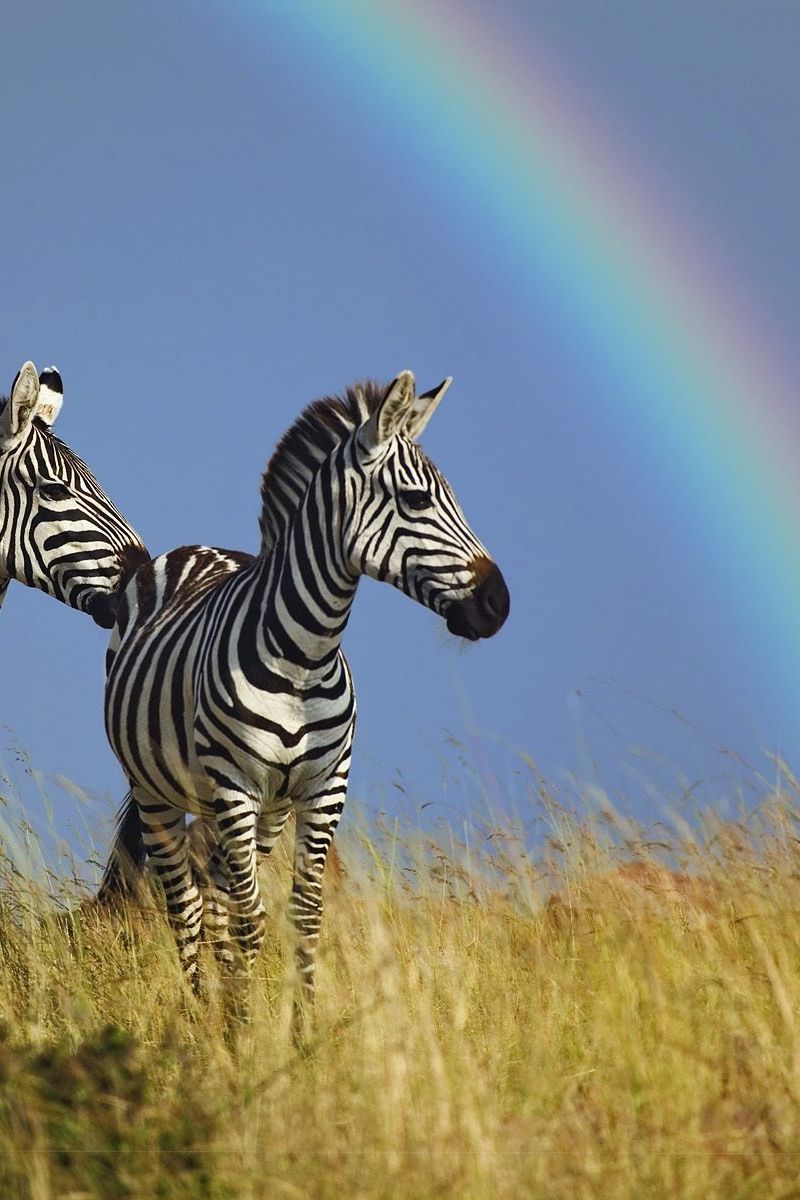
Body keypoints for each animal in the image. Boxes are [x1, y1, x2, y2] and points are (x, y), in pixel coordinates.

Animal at [102, 371, 509, 1024]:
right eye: (416, 501)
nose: (499, 604)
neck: (304, 654)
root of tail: (195, 549)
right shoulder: (236, 785)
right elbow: (250, 920)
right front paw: (245, 1033)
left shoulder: (322, 790)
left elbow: (303, 915)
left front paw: (301, 1030)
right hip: (160, 793)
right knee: (187, 908)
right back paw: (205, 1019)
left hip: (253, 810)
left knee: (216, 899)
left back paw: (224, 1008)